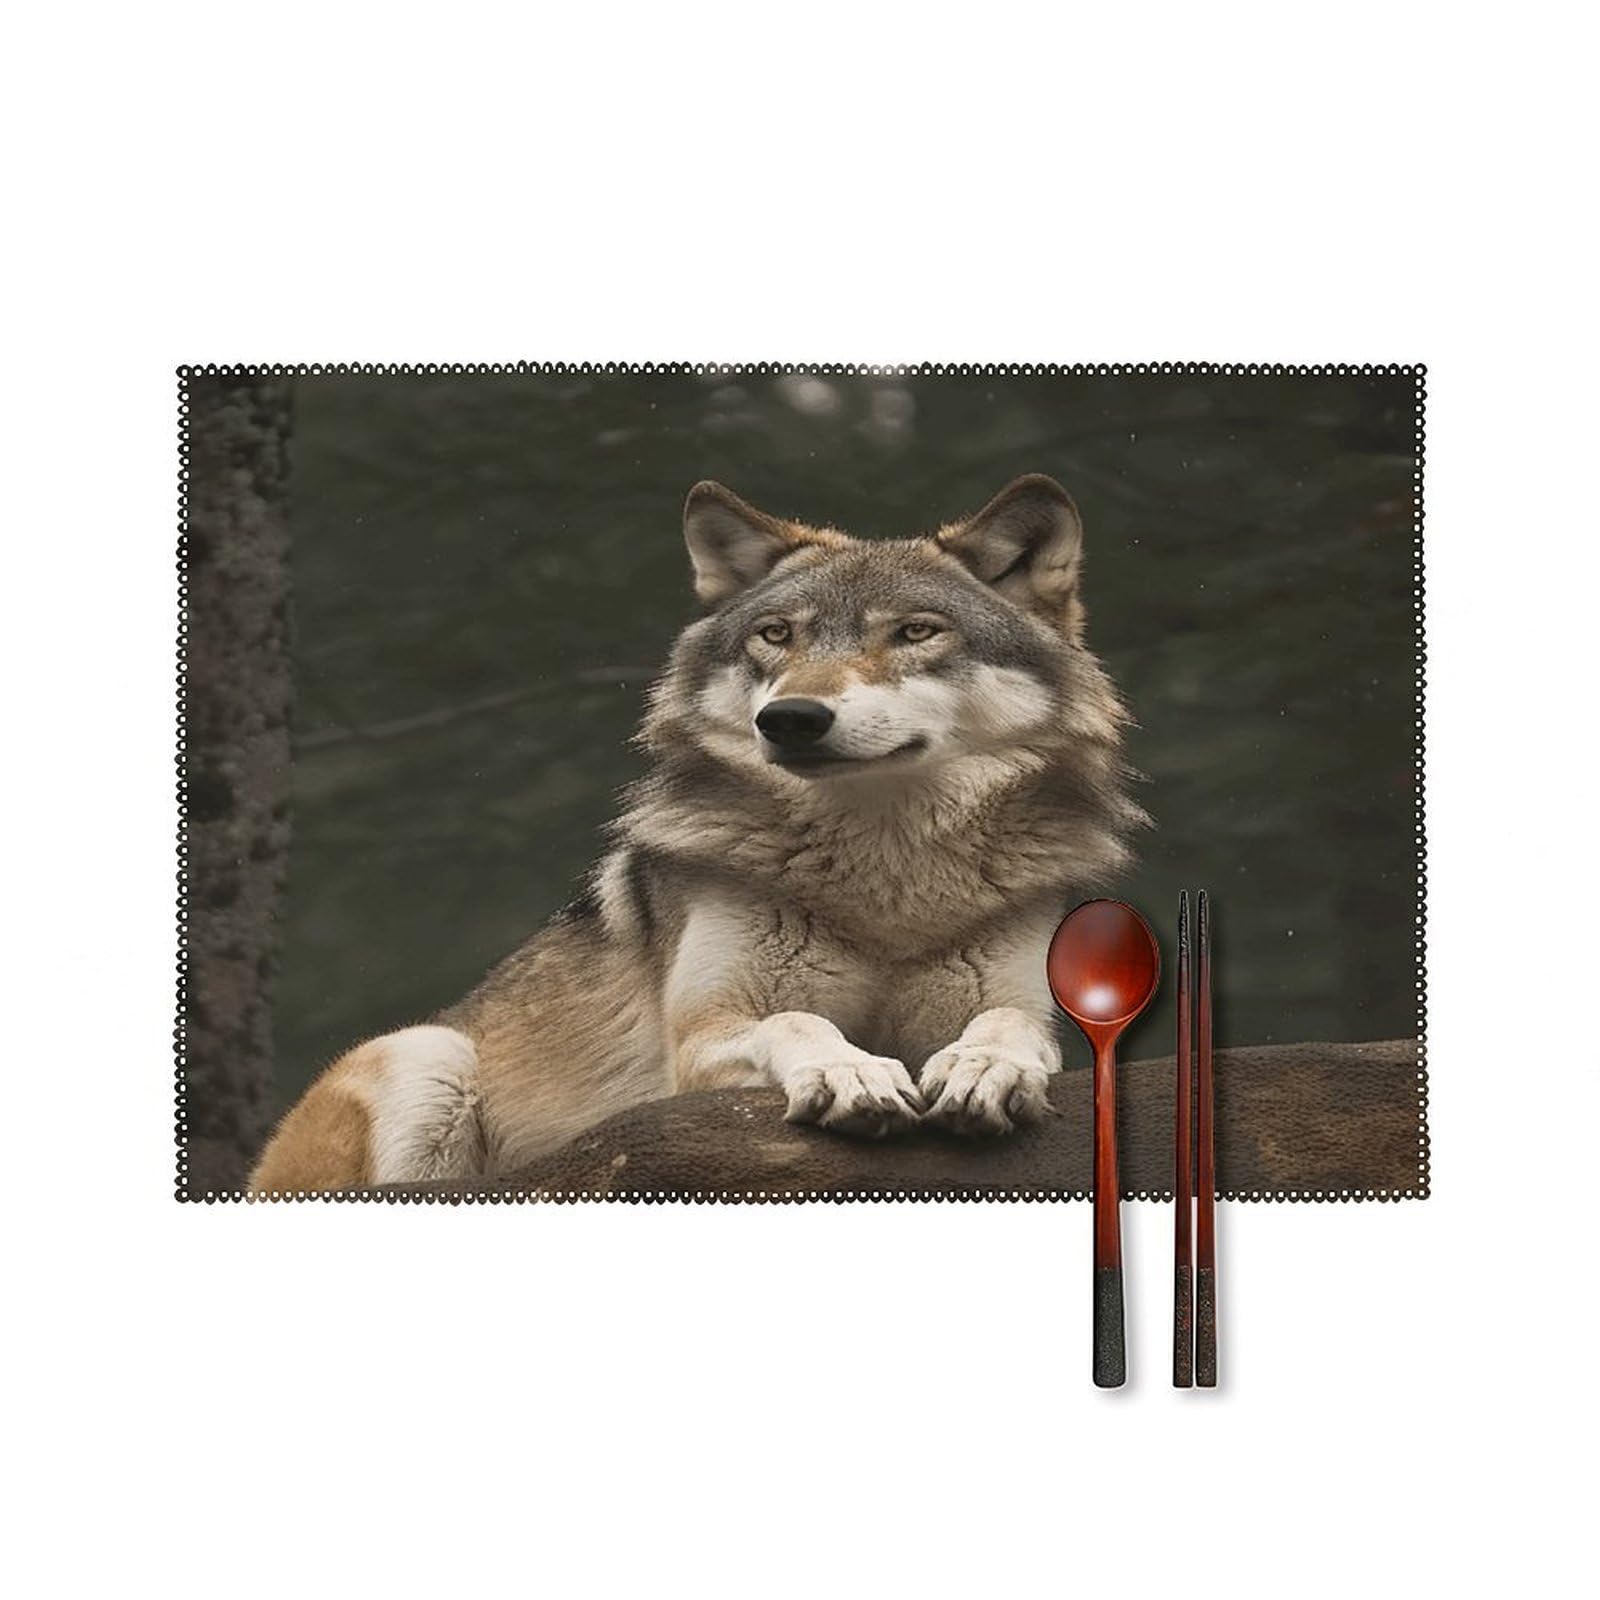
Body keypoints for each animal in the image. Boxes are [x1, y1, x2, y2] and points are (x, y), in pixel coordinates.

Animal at [248, 473, 1145, 1193]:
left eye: (916, 632)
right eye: (777, 634)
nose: (790, 718)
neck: (884, 882)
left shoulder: (1020, 1003)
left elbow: (1012, 1030)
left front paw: (984, 1067)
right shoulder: (704, 1044)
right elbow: (797, 1023)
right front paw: (850, 1072)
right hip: (428, 1057)